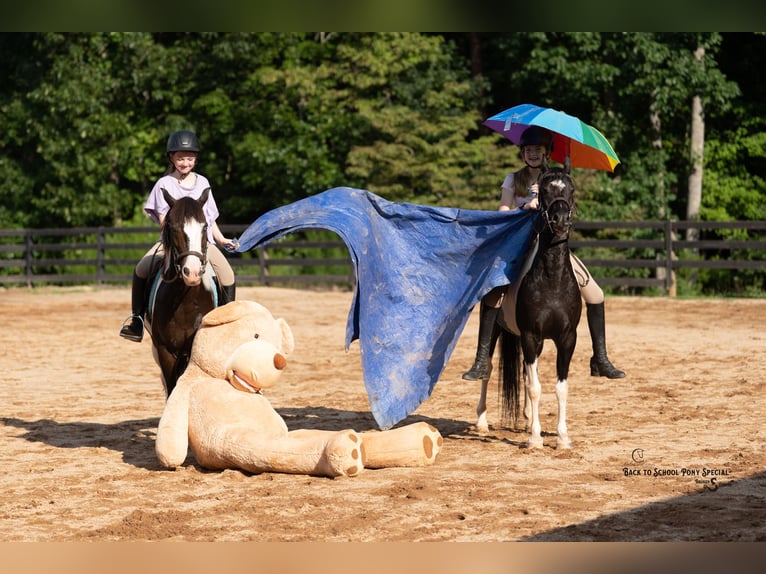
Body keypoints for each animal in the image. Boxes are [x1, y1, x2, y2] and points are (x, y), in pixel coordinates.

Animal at [144, 187, 220, 398]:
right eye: (173, 227)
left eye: (204, 227)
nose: (191, 272)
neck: (185, 301)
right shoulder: (165, 351)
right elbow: (172, 387)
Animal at [475, 167, 581, 449]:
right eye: (542, 191)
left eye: (571, 189)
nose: (560, 219)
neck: (553, 279)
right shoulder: (530, 336)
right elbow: (535, 387)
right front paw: (535, 438)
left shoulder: (567, 338)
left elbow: (560, 387)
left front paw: (562, 438)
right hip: (496, 330)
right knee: (487, 369)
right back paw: (482, 422)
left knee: (524, 373)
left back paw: (526, 418)